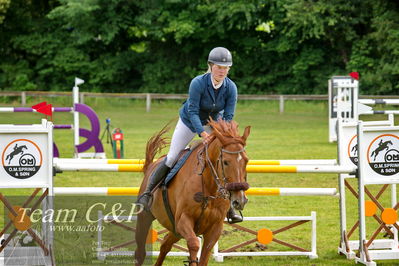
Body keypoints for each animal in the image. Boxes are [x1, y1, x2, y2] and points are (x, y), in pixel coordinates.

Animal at [136, 119, 252, 264]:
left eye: (246, 161)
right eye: (225, 162)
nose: (240, 200)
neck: (208, 188)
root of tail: (150, 166)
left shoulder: (214, 228)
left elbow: (205, 253)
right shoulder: (183, 221)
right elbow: (194, 244)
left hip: (174, 229)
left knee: (165, 244)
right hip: (145, 218)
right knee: (140, 252)